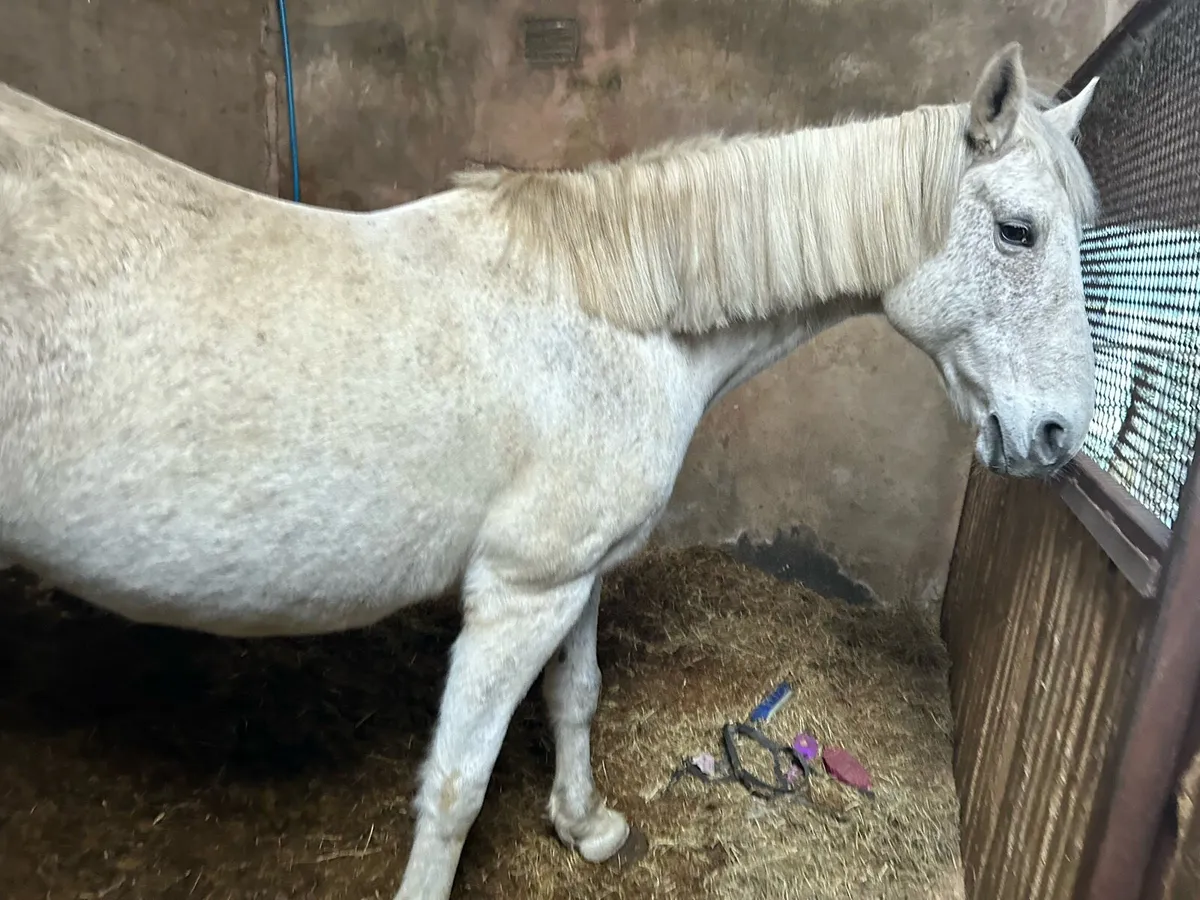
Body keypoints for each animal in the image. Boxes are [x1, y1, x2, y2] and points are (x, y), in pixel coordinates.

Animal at [0, 42, 1098, 899]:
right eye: (1018, 231)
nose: (1054, 432)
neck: (616, 320)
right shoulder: (519, 594)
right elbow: (455, 786)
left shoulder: (575, 575)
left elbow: (577, 696)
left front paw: (586, 825)